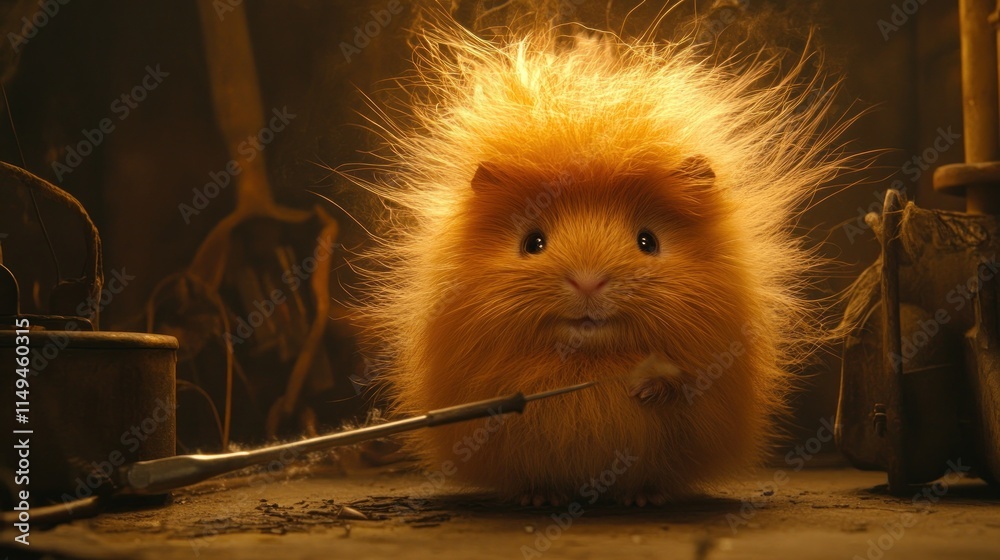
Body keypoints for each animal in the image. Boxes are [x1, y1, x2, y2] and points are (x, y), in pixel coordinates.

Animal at [349, 14, 850, 505]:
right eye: (533, 242)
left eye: (648, 241)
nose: (588, 282)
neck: (591, 360)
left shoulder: (707, 370)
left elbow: (680, 385)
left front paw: (646, 389)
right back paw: (542, 499)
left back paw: (641, 500)